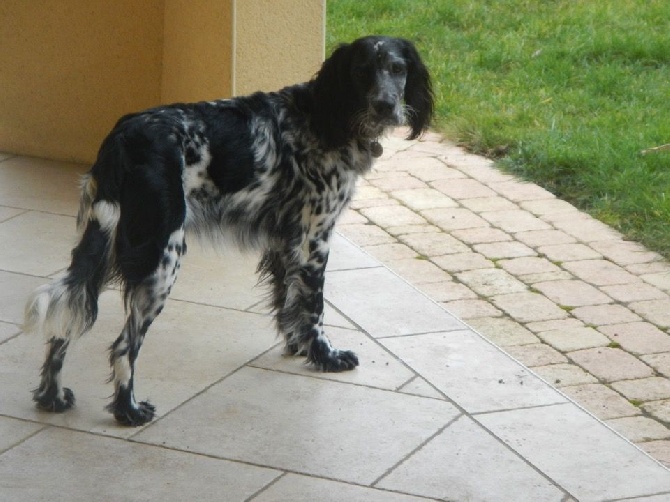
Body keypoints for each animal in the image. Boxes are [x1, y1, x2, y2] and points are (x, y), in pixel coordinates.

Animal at [23, 36, 434, 428]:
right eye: (362, 71)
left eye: (398, 68)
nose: (385, 105)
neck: (325, 115)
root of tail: (123, 137)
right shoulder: (313, 239)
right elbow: (314, 309)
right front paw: (325, 355)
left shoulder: (284, 242)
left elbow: (289, 303)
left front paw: (298, 348)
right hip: (161, 258)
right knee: (124, 346)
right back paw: (129, 411)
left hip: (104, 248)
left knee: (64, 325)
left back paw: (52, 397)